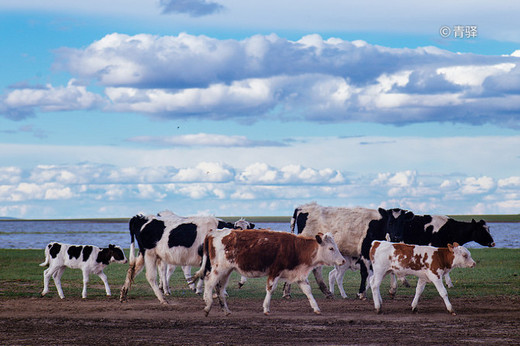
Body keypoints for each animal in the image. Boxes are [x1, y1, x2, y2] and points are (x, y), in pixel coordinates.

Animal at [191, 228, 346, 314]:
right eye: (331, 248)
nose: (343, 260)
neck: (296, 248)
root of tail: (213, 233)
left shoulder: (298, 274)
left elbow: (308, 291)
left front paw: (316, 308)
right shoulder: (275, 271)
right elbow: (270, 289)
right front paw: (266, 308)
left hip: (227, 271)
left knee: (220, 287)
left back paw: (226, 310)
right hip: (219, 269)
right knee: (209, 282)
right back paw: (208, 305)